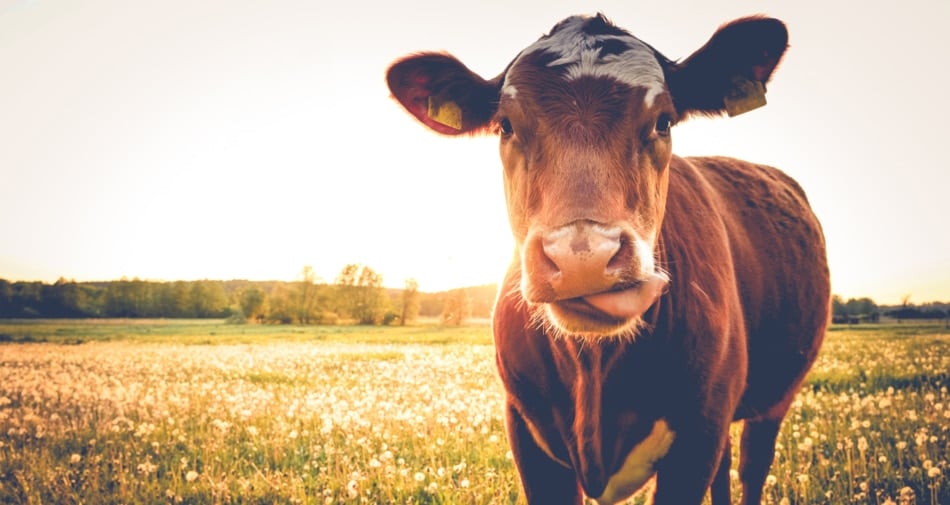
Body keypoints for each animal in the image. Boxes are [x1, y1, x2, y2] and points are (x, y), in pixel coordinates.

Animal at [386, 12, 832, 504]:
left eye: (663, 122)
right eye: (505, 125)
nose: (582, 257)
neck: (593, 366)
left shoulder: (698, 434)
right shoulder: (526, 433)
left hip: (774, 399)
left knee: (752, 465)